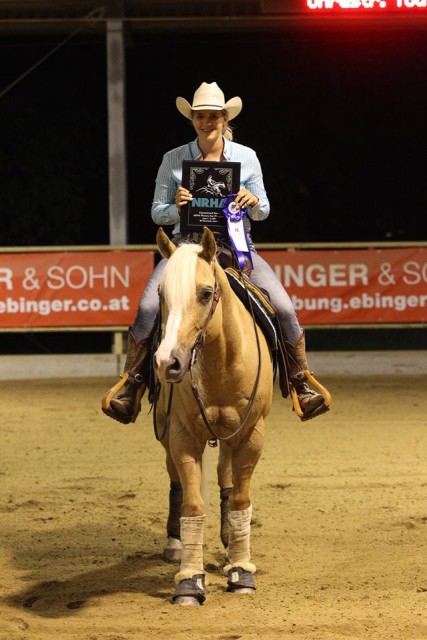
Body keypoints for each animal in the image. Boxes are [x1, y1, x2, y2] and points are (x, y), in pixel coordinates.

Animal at [155, 226, 274, 604]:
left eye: (206, 293)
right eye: (161, 294)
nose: (168, 363)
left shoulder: (251, 434)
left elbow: (239, 498)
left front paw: (241, 572)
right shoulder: (182, 435)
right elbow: (192, 504)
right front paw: (189, 581)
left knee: (226, 475)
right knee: (176, 481)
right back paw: (175, 542)